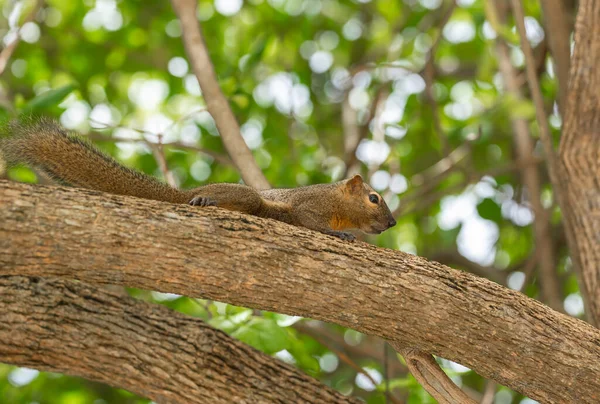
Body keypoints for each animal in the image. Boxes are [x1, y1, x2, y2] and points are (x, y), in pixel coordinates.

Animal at [1, 118, 398, 241]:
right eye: (373, 198)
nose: (393, 223)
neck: (338, 204)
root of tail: (185, 193)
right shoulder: (310, 204)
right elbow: (309, 220)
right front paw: (340, 234)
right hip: (247, 197)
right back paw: (205, 200)